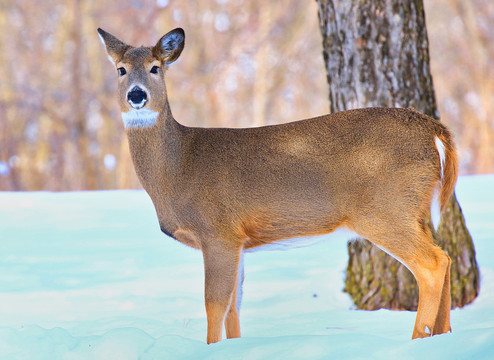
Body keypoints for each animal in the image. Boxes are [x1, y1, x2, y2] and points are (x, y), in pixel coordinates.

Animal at [98, 26, 458, 344]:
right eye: (121, 69)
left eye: (155, 68)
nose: (136, 95)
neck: (178, 168)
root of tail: (434, 130)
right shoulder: (238, 240)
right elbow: (234, 306)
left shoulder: (218, 231)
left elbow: (215, 304)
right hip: (413, 211)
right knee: (447, 257)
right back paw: (443, 336)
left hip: (384, 211)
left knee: (432, 264)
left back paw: (418, 339)